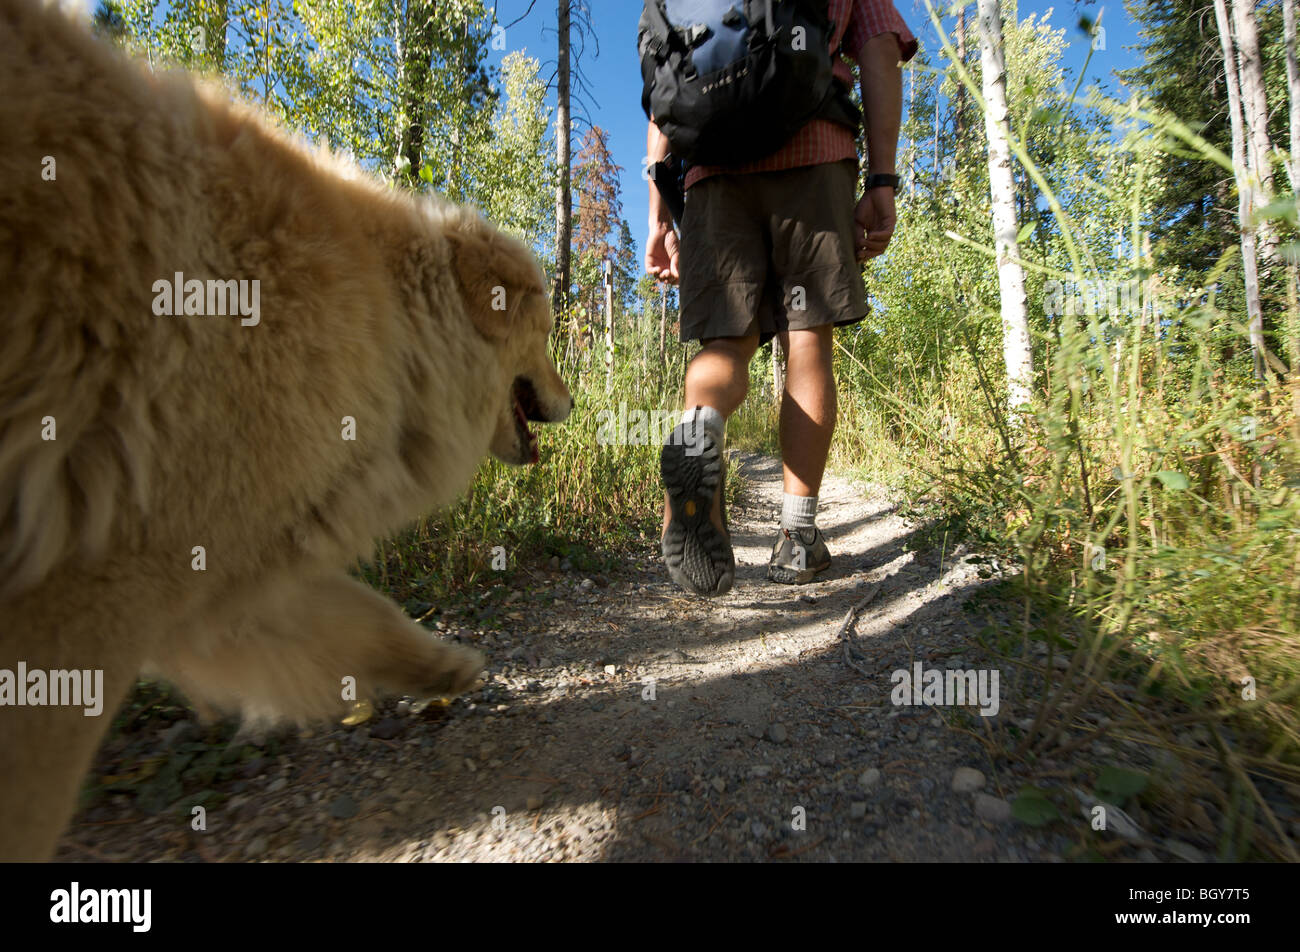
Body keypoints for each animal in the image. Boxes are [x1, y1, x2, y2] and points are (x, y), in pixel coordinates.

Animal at [1, 0, 569, 863]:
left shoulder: (230, 575)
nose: (574, 397)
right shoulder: (90, 597)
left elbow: (364, 617)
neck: (393, 326)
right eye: (545, 332)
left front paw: (444, 667)